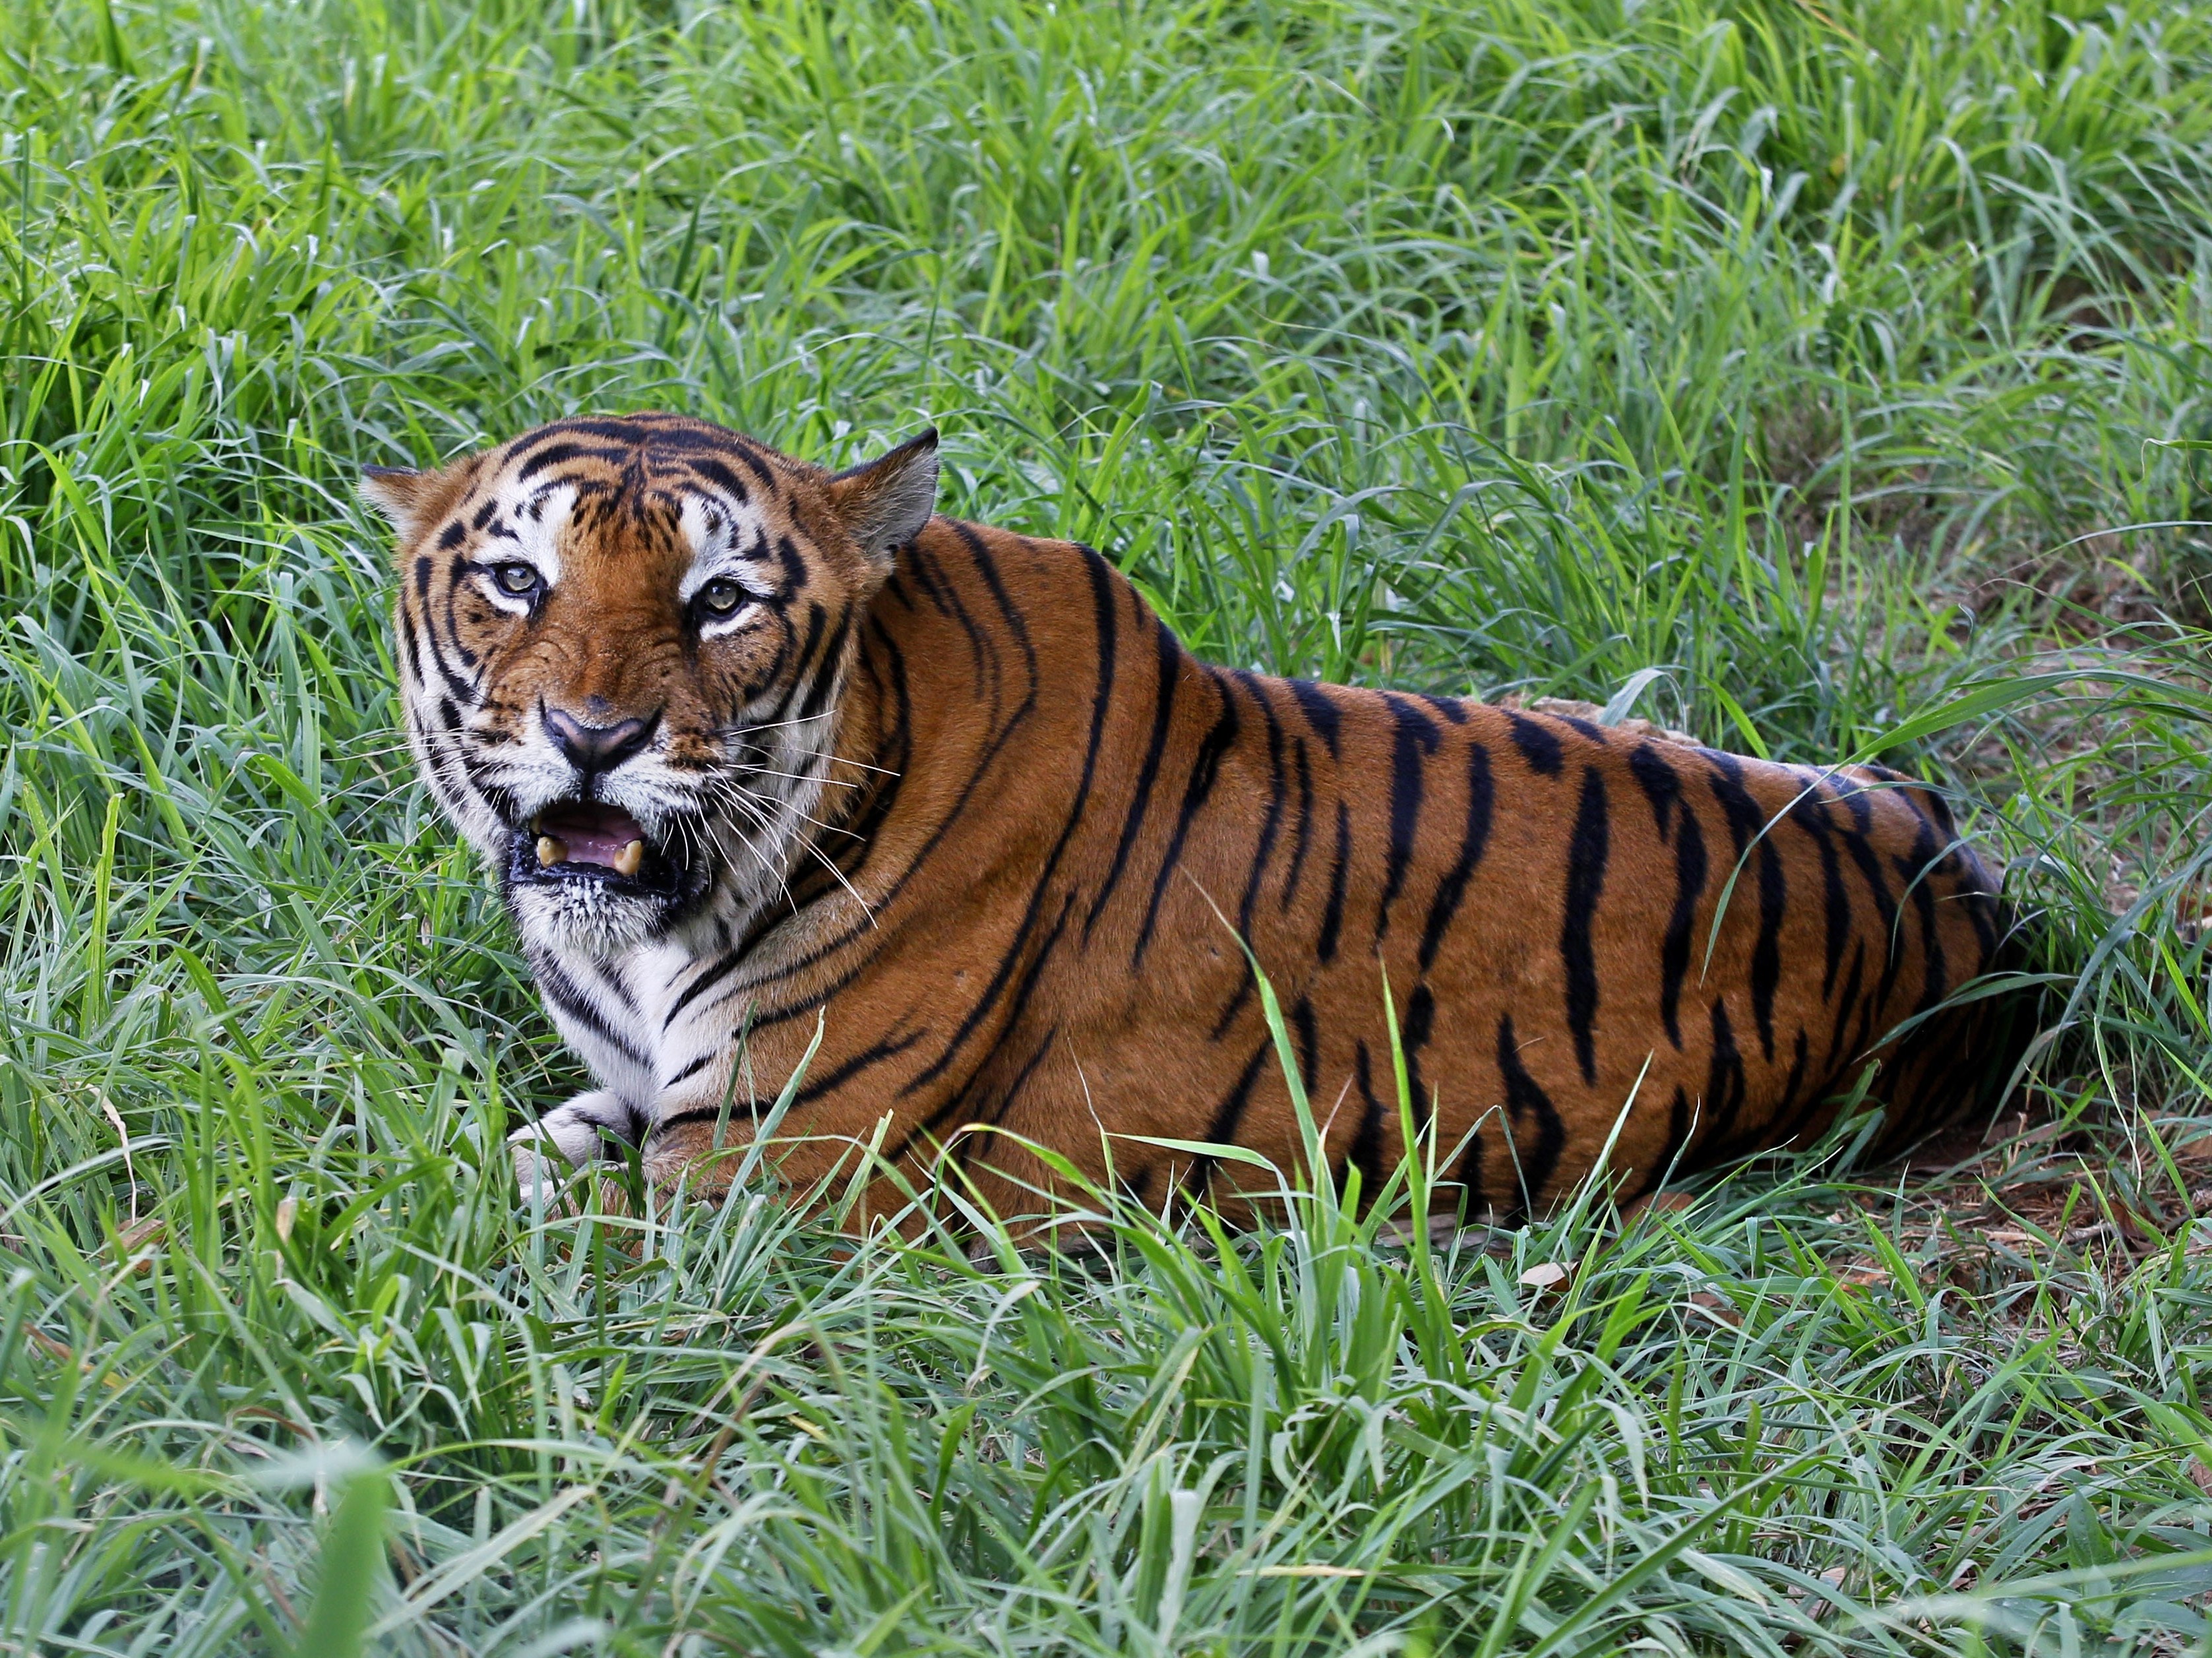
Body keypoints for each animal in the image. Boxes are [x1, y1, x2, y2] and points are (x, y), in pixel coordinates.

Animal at [367, 415, 2035, 1238]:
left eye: (722, 603)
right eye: (515, 580)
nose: (595, 736)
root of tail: (1986, 897)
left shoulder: (767, 1179)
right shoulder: (638, 1104)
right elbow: (479, 1167)